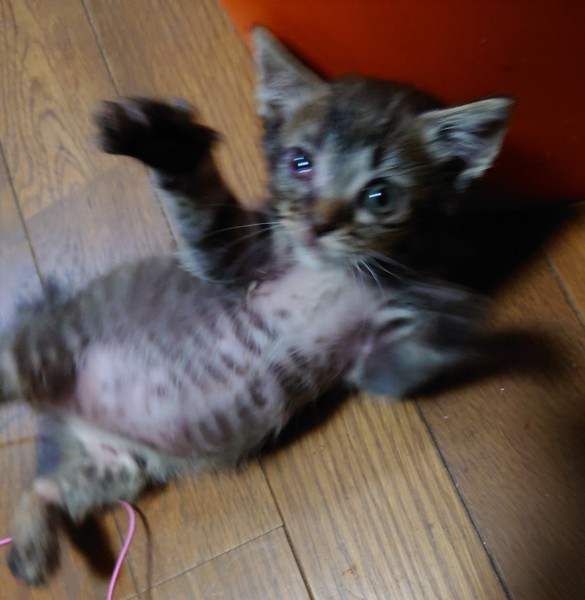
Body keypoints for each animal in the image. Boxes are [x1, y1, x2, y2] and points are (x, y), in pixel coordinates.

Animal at [0, 28, 513, 584]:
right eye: (299, 163)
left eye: (380, 195)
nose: (319, 225)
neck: (333, 271)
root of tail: (58, 410)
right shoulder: (234, 259)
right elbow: (203, 210)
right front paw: (166, 141)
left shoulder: (371, 362)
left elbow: (400, 361)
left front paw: (450, 314)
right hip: (50, 343)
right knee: (20, 365)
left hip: (117, 467)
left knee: (46, 488)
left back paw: (30, 549)